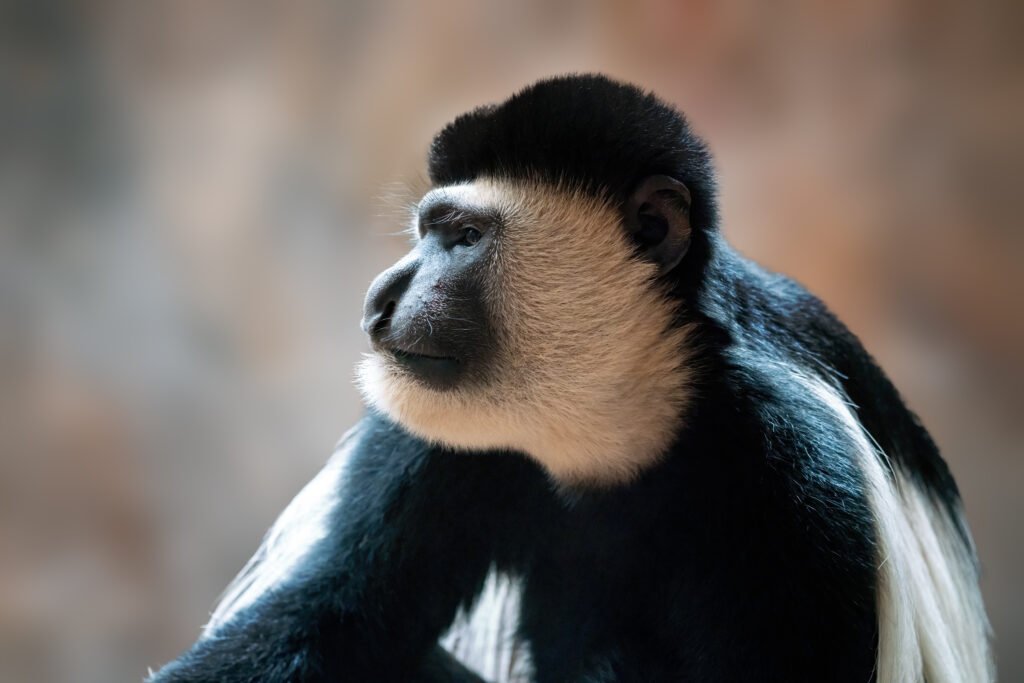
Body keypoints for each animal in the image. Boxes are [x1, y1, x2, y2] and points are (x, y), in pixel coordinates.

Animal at [149, 74, 993, 682]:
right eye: (426, 231)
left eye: (462, 237)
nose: (380, 297)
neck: (622, 425)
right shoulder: (427, 435)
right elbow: (340, 613)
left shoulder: (796, 469)